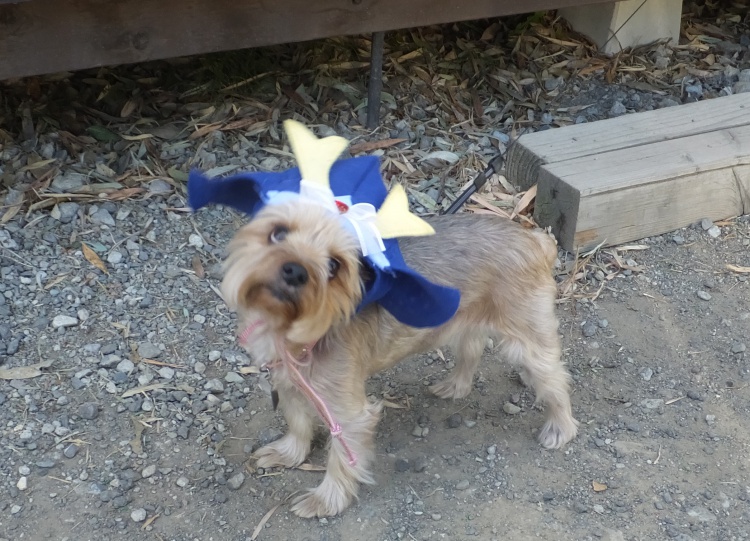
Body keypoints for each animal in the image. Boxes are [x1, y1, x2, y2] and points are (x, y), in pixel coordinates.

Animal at [220, 198, 579, 518]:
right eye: (278, 233)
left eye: (334, 265)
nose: (296, 270)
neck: (288, 330)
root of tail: (535, 239)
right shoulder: (287, 380)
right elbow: (297, 421)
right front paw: (288, 453)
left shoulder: (349, 413)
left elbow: (342, 456)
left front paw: (326, 500)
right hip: (464, 318)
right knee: (473, 347)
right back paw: (455, 385)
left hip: (525, 334)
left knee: (555, 377)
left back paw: (560, 428)